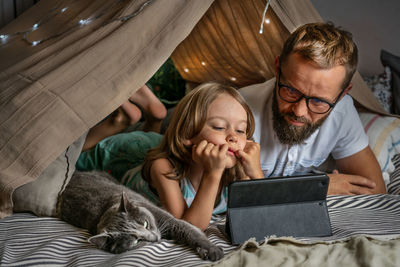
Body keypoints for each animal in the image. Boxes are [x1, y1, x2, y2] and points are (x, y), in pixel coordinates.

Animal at [57, 172, 223, 262]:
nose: (155, 239)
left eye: (145, 224)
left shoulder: (170, 221)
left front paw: (212, 251)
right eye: (136, 241)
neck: (105, 210)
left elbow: (192, 232)